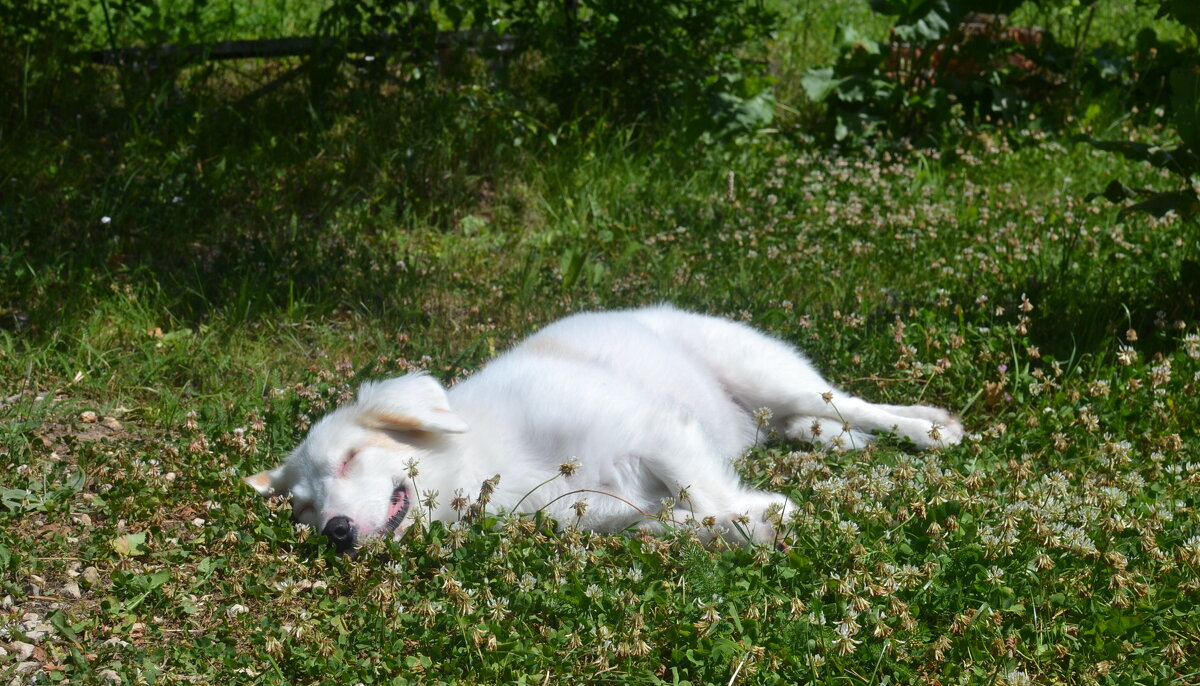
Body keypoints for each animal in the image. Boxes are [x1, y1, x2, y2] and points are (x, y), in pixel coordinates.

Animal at [246, 305, 964, 551]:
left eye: (349, 459)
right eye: (303, 511)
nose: (337, 534)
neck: (484, 464)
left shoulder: (655, 429)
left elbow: (709, 498)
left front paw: (760, 517)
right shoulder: (597, 512)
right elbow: (681, 521)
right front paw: (751, 522)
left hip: (766, 374)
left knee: (852, 402)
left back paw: (929, 429)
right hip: (773, 410)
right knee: (813, 422)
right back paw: (835, 439)